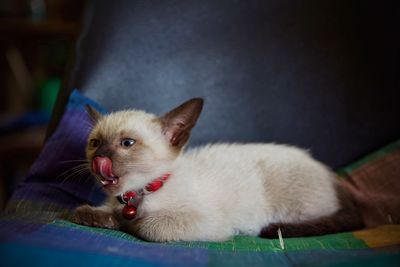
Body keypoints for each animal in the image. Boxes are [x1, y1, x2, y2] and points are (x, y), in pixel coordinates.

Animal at [70, 98, 364, 243]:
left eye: (127, 144)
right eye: (94, 143)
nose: (99, 157)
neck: (139, 193)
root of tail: (330, 175)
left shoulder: (206, 222)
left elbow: (148, 226)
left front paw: (127, 223)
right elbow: (91, 212)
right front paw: (98, 216)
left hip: (292, 208)